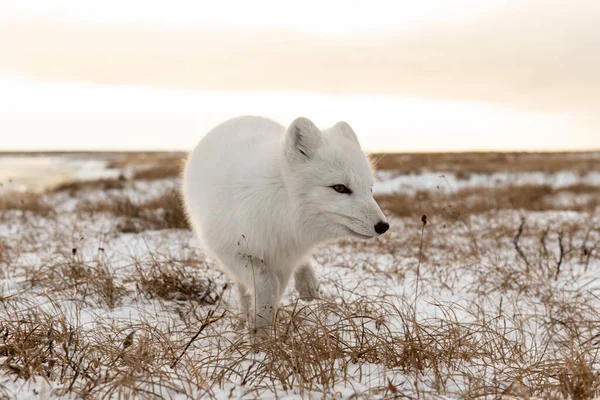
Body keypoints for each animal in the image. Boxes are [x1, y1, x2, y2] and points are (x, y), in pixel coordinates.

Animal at [183, 116, 390, 334]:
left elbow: (273, 295)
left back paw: (307, 287)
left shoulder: (284, 260)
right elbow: (265, 287)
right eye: (340, 188)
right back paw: (243, 317)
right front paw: (258, 335)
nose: (383, 226)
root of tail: (240, 118)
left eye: (370, 189)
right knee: (242, 288)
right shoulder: (231, 253)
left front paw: (264, 335)